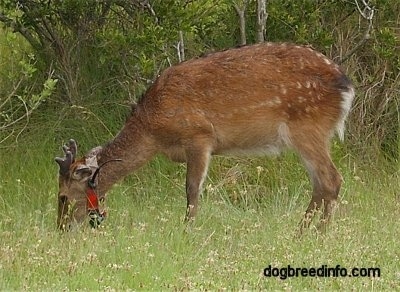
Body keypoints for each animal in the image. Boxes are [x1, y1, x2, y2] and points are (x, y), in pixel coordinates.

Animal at [54, 41, 354, 233]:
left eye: (63, 196)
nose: (61, 229)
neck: (153, 129)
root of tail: (347, 86)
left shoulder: (199, 136)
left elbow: (191, 189)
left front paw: (187, 231)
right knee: (319, 183)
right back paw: (301, 231)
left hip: (308, 127)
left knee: (332, 180)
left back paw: (317, 234)